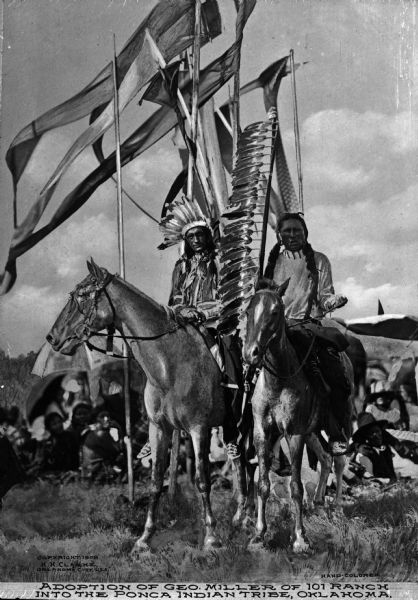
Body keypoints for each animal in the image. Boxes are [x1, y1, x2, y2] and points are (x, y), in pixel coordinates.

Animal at [47, 262, 250, 552]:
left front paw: (211, 538)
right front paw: (144, 539)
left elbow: (202, 480)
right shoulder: (159, 429)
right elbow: (156, 482)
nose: (53, 338)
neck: (169, 366)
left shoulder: (198, 429)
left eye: (83, 297)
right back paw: (241, 516)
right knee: (240, 463)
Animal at [242, 278, 352, 552]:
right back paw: (319, 504)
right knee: (325, 458)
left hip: (343, 418)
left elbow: (296, 486)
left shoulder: (294, 434)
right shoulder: (263, 433)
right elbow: (262, 483)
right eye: (248, 312)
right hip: (313, 431)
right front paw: (259, 535)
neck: (279, 381)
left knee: (339, 460)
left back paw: (337, 508)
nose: (251, 354)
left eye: (275, 312)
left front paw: (300, 538)